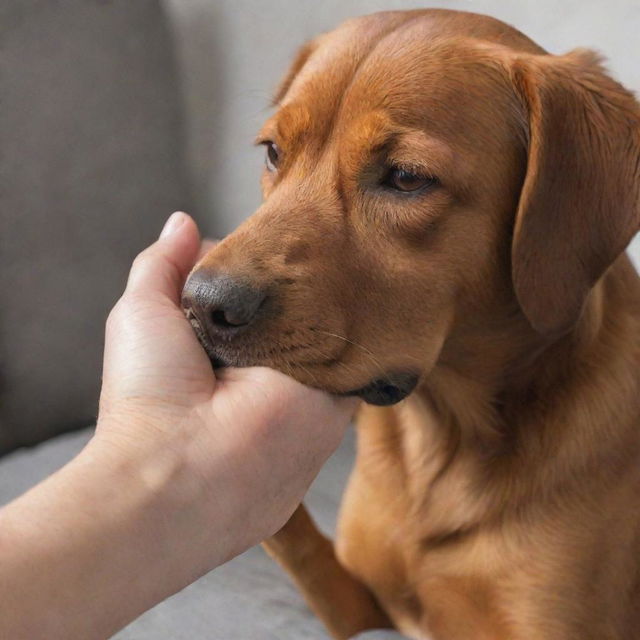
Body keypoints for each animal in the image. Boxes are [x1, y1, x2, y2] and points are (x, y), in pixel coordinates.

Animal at [181, 10, 640, 640]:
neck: (443, 438)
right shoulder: (362, 607)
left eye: (405, 178)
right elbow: (303, 546)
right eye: (273, 152)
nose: (201, 305)